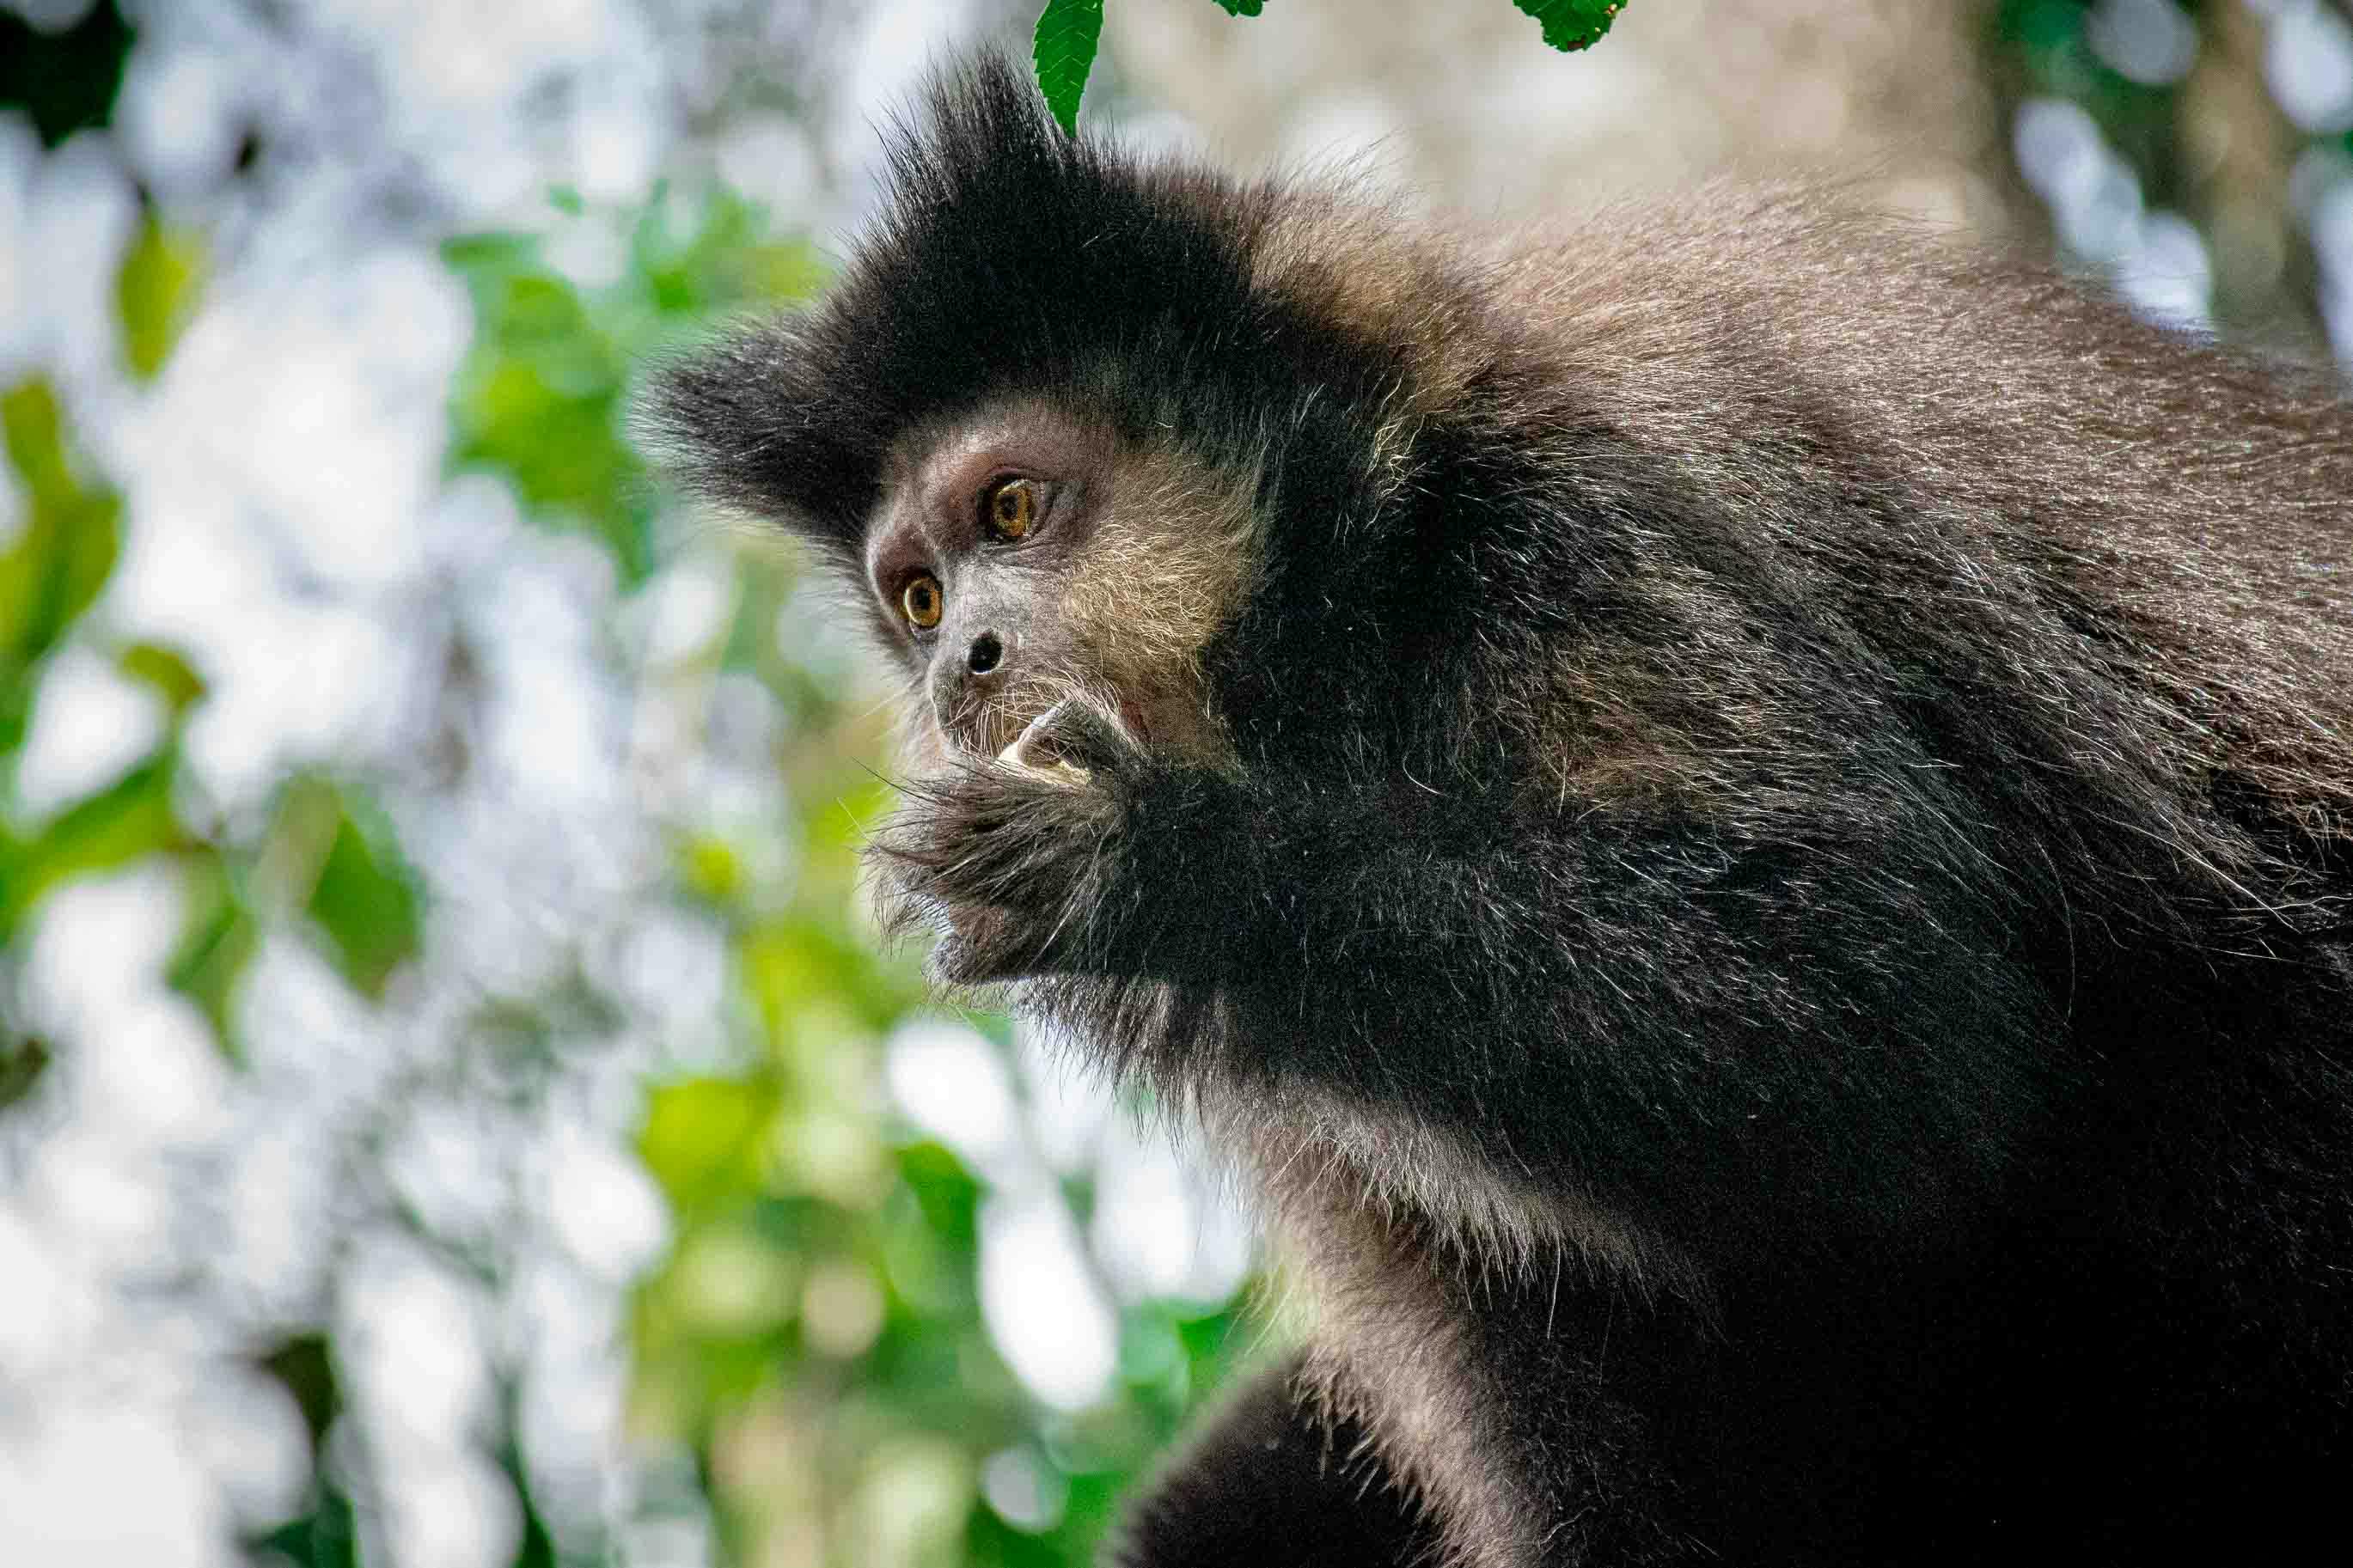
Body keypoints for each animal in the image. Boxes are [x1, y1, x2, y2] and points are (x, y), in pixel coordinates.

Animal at [638, 53, 2353, 1568]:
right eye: (918, 599)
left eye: (1011, 509)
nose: (961, 673)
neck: (1375, 607)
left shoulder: (1581, 528)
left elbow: (1875, 1019)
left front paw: (1165, 865)